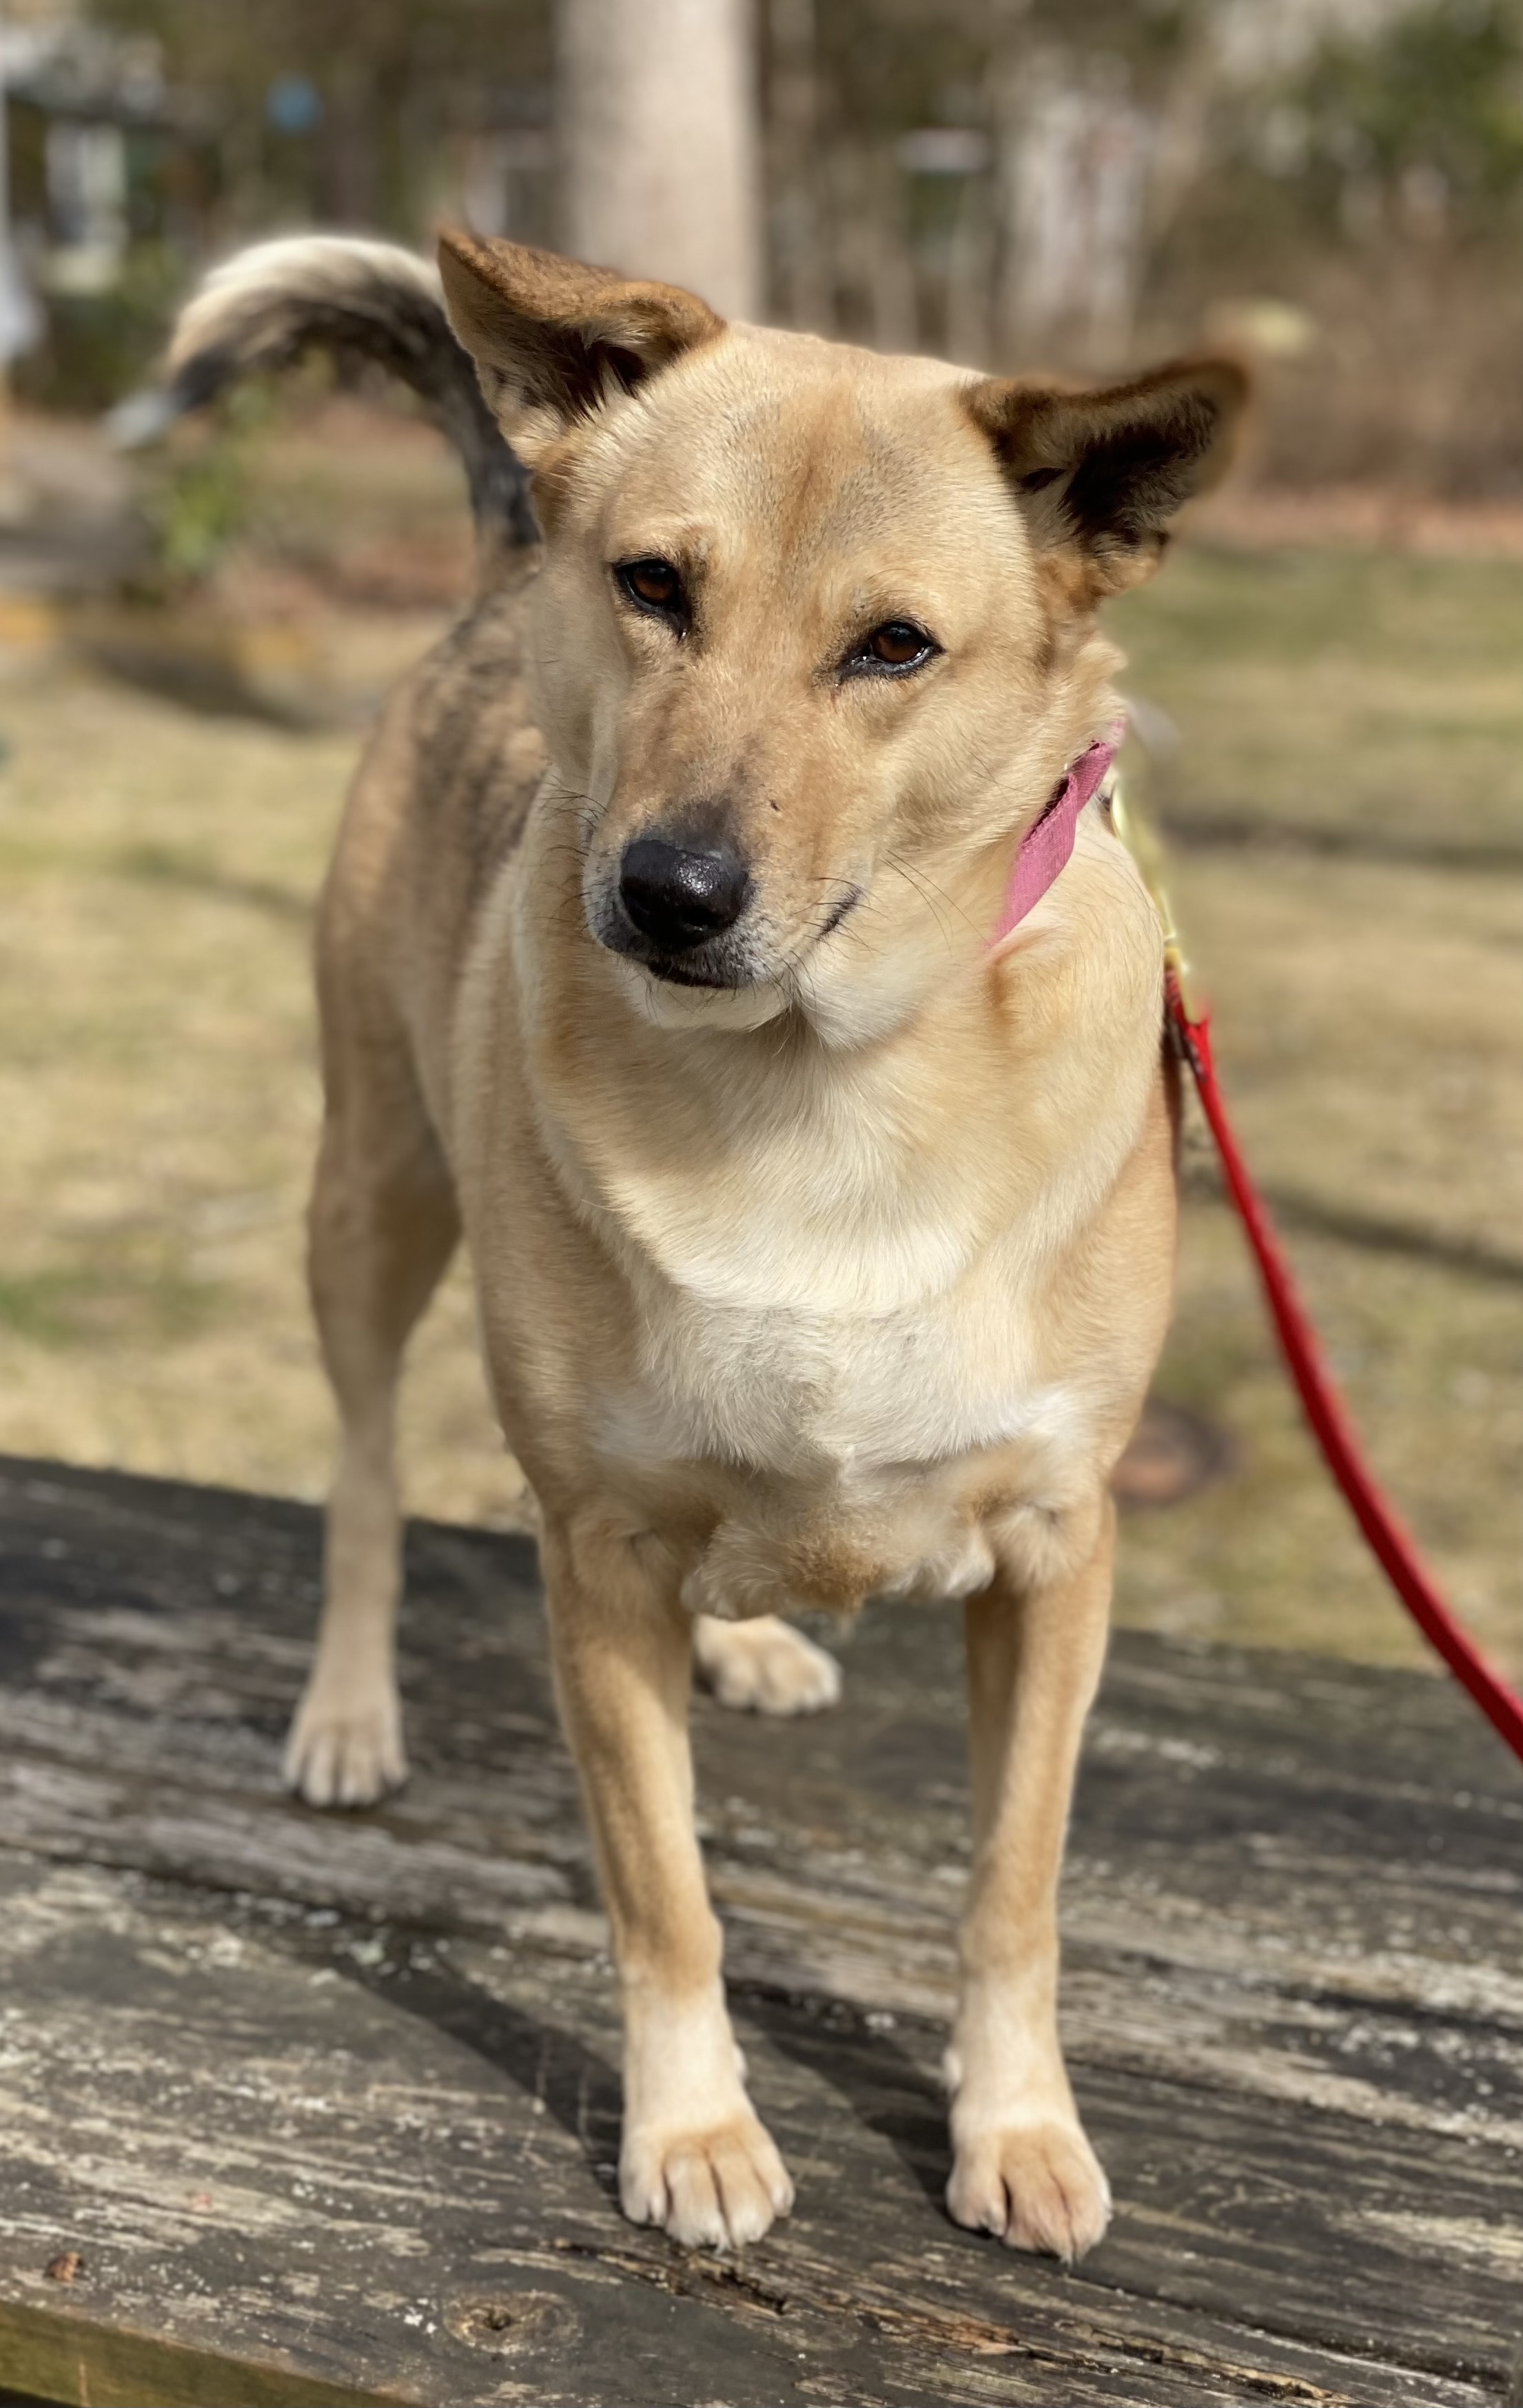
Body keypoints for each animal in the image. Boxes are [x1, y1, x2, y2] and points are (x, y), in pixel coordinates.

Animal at [160, 234, 1243, 2263]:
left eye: (892, 646)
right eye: (654, 586)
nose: (664, 891)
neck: (817, 1081)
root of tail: (496, 566)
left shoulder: (1059, 1549)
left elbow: (1013, 1886)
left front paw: (1017, 2125)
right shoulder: (596, 1550)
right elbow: (661, 1886)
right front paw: (692, 2125)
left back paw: (746, 1640)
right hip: (371, 1197)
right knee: (362, 1474)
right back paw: (349, 1707)